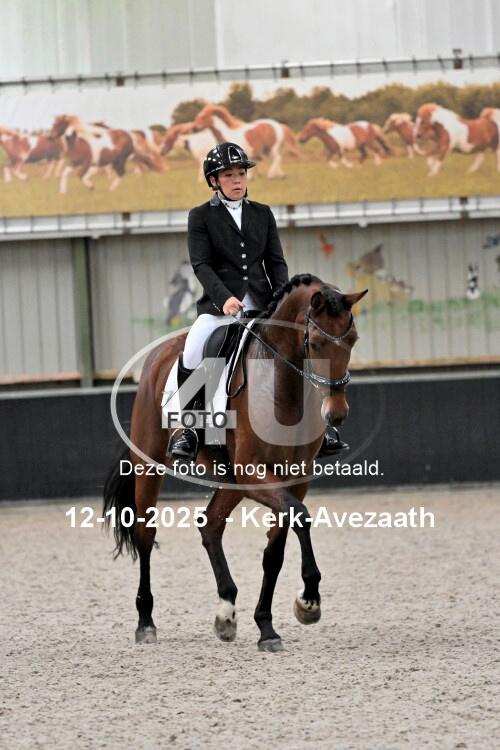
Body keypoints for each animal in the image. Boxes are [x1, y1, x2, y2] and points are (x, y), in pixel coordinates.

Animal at [103, 273, 367, 651]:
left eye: (352, 339)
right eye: (316, 343)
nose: (337, 414)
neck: (282, 387)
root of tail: (158, 356)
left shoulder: (293, 478)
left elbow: (275, 550)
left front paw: (267, 626)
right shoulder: (253, 473)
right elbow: (300, 517)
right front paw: (309, 600)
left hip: (229, 478)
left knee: (210, 524)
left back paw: (226, 613)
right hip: (149, 465)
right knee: (145, 534)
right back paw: (145, 622)